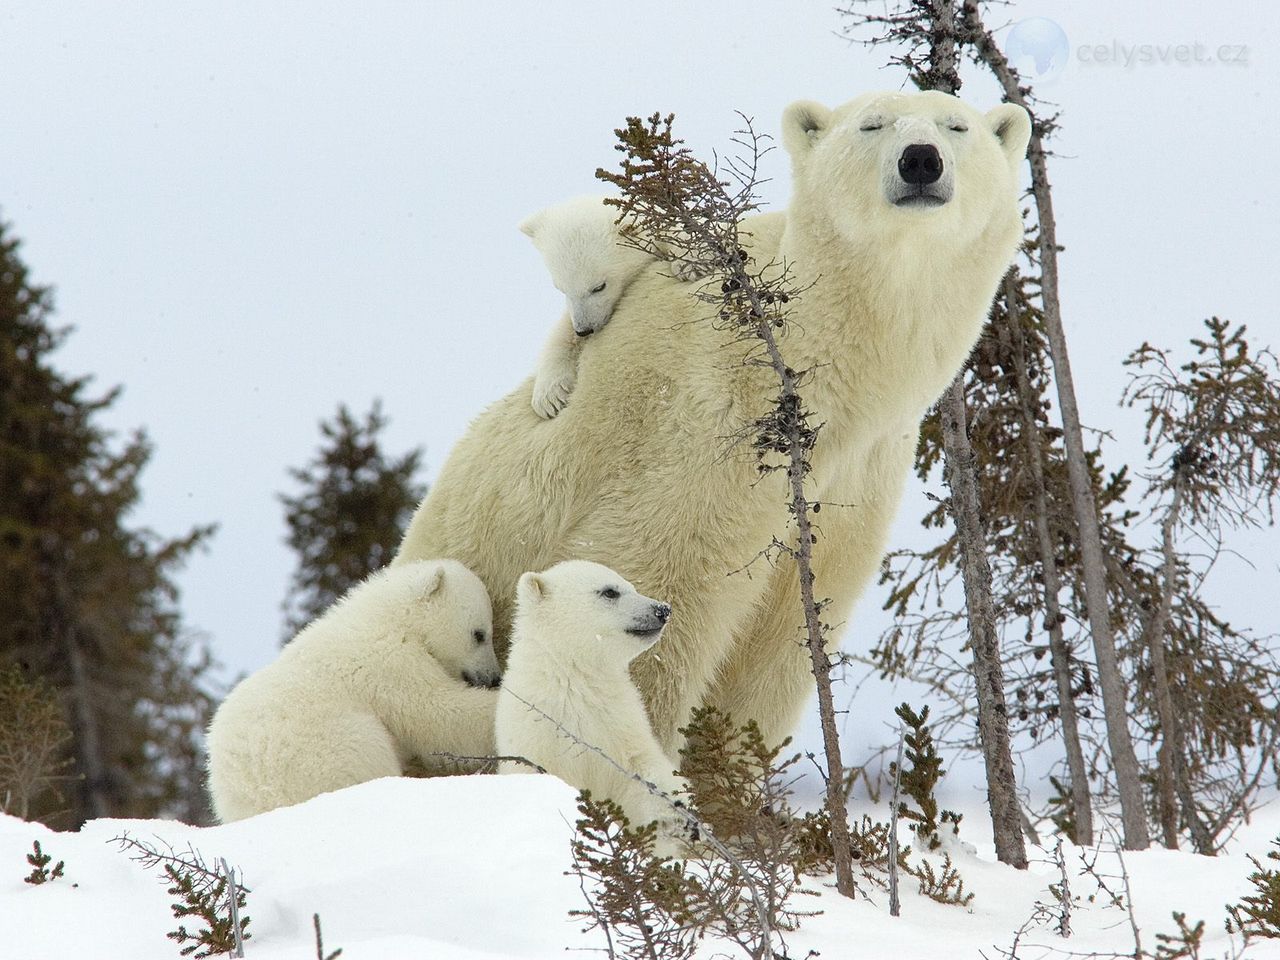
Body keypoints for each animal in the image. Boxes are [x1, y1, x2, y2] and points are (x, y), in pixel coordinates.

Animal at [394, 92, 1024, 752]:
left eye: (958, 126)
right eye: (871, 124)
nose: (921, 160)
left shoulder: (857, 480)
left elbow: (779, 649)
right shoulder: (702, 432)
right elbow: (656, 593)